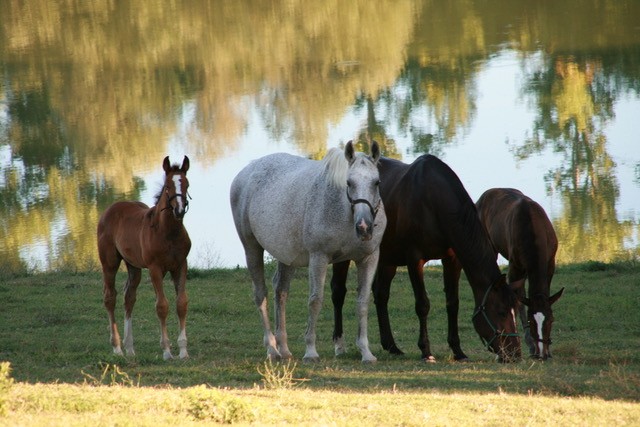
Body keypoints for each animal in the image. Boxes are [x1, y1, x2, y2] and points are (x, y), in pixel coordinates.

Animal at [97, 156, 192, 360]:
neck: (168, 232)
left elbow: (181, 304)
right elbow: (162, 306)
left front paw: (183, 351)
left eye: (187, 184)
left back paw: (130, 348)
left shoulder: (181, 265)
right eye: (167, 186)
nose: (179, 211)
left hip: (134, 266)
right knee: (110, 297)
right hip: (109, 263)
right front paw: (166, 351)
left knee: (129, 297)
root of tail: (109, 209)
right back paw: (117, 348)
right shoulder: (155, 268)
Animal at [230, 141, 386, 362]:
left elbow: (362, 303)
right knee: (261, 294)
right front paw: (311, 351)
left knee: (281, 291)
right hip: (251, 248)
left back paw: (284, 349)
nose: (364, 227)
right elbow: (315, 301)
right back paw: (272, 349)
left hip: (286, 256)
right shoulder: (318, 258)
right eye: (349, 182)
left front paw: (366, 352)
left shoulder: (368, 258)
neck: (343, 210)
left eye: (377, 182)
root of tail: (246, 172)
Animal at [331, 154, 522, 363]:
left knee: (381, 294)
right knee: (338, 292)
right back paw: (339, 346)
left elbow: (452, 303)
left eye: (516, 310)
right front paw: (426, 351)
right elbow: (422, 304)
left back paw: (391, 346)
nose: (515, 354)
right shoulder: (414, 259)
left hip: (388, 258)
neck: (433, 200)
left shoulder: (452, 260)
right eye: (501, 312)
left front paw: (458, 350)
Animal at [473, 188, 564, 360]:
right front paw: (528, 345)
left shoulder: (550, 262)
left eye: (551, 319)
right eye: (531, 320)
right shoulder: (515, 265)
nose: (542, 353)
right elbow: (517, 300)